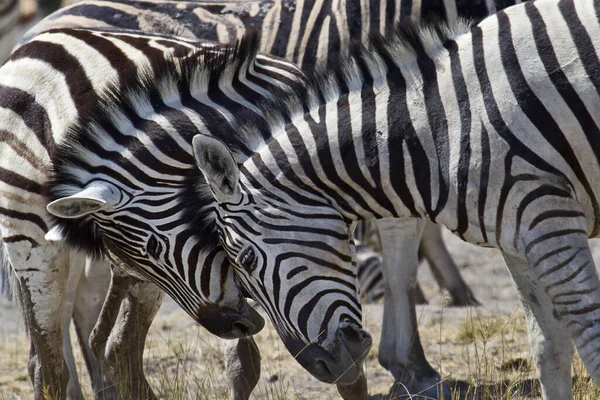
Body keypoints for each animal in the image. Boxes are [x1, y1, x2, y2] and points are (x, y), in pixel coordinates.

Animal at [188, 0, 600, 396]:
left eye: (246, 260)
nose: (328, 369)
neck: (439, 125)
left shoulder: (548, 216)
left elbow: (588, 333)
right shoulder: (518, 235)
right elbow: (548, 347)